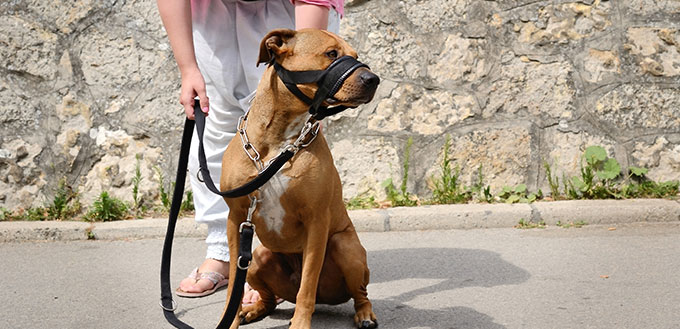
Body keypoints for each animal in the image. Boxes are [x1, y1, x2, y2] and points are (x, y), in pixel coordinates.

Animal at [219, 28, 378, 328]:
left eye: (355, 55)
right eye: (331, 53)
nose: (373, 79)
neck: (280, 141)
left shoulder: (317, 221)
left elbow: (308, 286)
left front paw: (300, 323)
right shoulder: (236, 219)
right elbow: (234, 282)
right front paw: (230, 318)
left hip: (346, 247)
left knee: (358, 293)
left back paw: (365, 314)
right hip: (257, 258)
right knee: (269, 298)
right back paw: (252, 309)